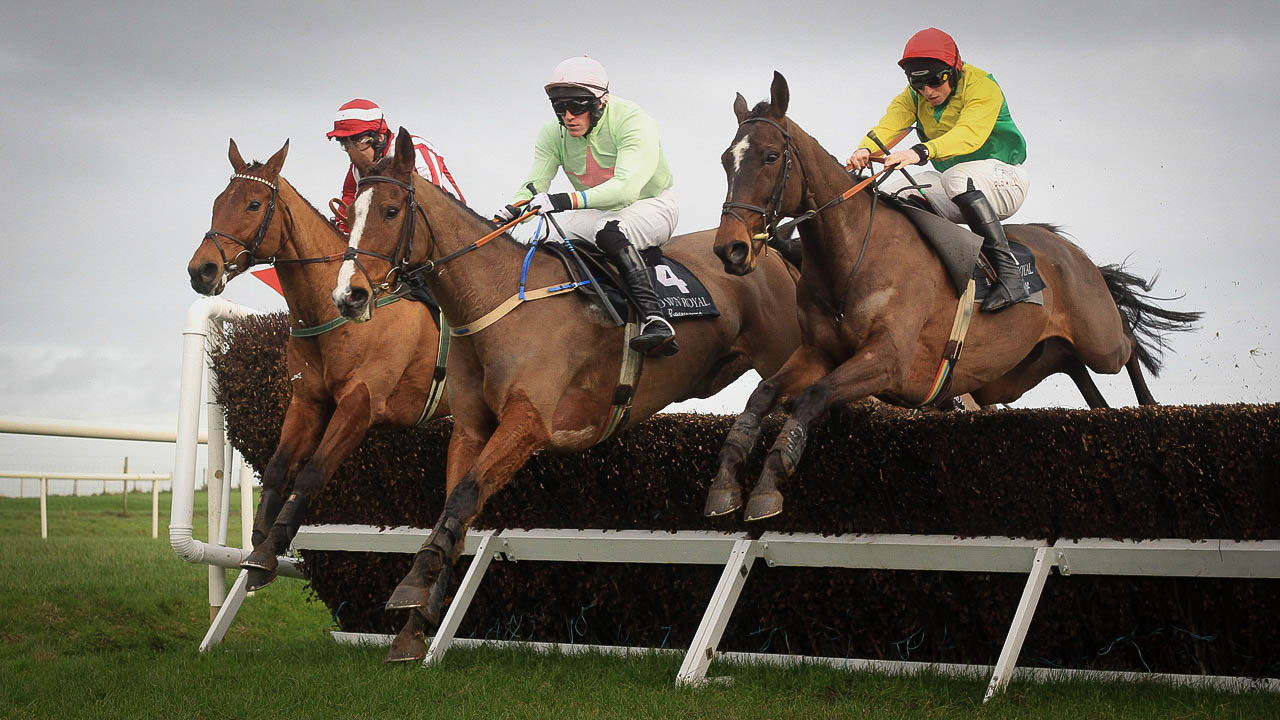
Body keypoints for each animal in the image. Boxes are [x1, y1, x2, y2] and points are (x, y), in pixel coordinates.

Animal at [187, 139, 451, 592]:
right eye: (218, 202)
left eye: (254, 204)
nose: (201, 270)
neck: (335, 311)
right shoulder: (307, 400)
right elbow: (277, 468)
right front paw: (261, 545)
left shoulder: (360, 405)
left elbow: (312, 472)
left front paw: (272, 545)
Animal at [330, 128, 803, 662]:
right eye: (350, 213)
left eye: (391, 210)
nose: (348, 295)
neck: (497, 300)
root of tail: (767, 250)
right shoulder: (471, 428)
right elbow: (456, 505)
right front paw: (415, 623)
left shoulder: (529, 423)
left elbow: (467, 493)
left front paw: (411, 587)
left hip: (786, 351)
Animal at [706, 72, 1202, 522]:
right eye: (727, 160)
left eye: (771, 156)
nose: (731, 250)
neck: (851, 254)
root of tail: (1070, 250)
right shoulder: (818, 352)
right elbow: (763, 396)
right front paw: (726, 483)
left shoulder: (888, 359)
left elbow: (812, 398)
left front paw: (767, 488)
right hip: (1017, 371)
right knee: (1076, 369)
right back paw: (1109, 417)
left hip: (1098, 339)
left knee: (1127, 346)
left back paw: (1150, 411)